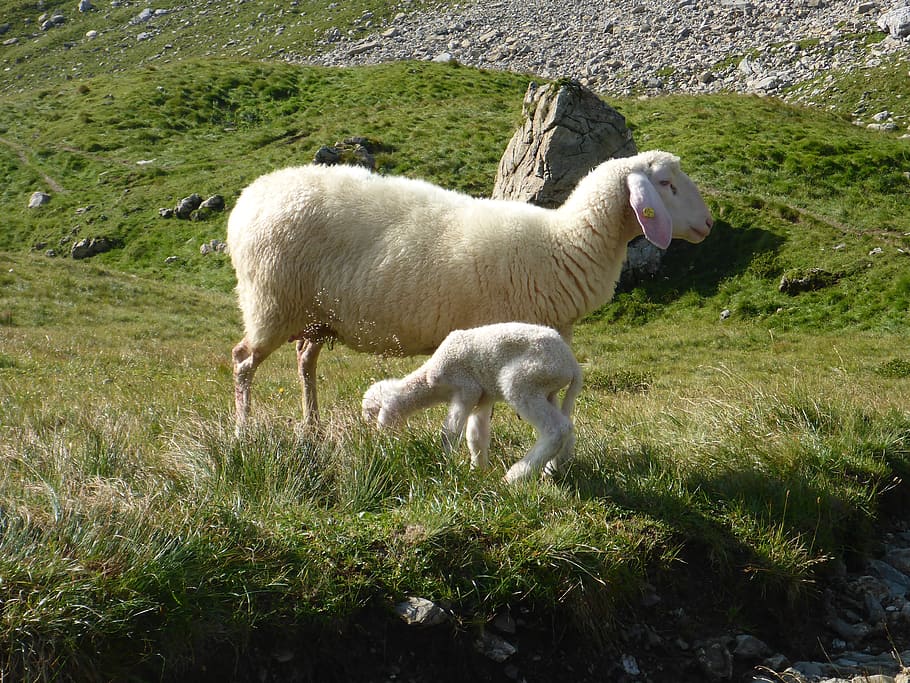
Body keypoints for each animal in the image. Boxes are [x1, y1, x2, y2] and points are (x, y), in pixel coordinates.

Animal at [228, 149, 713, 429]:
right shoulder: (496, 339)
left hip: (315, 315)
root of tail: (250, 197)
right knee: (243, 361)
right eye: (665, 184)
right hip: (270, 301)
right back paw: (243, 433)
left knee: (304, 361)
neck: (561, 243)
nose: (708, 223)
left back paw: (311, 428)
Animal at [361, 322, 583, 483]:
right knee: (567, 429)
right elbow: (476, 436)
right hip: (547, 390)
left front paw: (447, 464)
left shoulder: (467, 388)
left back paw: (514, 477)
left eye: (381, 420)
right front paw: (478, 470)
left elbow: (449, 433)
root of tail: (572, 363)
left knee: (557, 429)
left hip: (524, 380)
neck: (430, 380)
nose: (383, 446)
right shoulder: (483, 398)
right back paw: (552, 470)